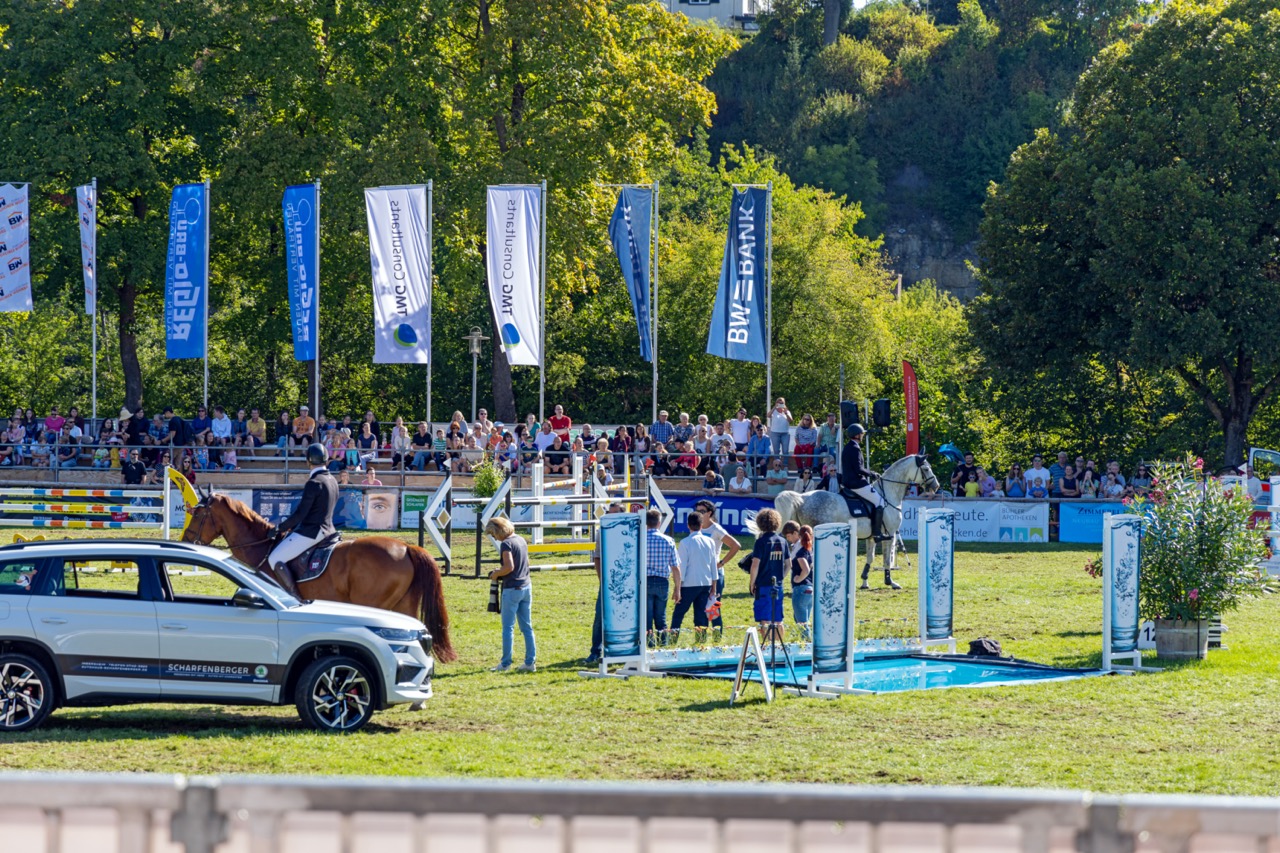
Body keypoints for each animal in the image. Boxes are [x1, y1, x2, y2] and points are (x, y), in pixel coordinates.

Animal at [181, 490, 455, 662]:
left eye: (198, 514)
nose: (185, 540)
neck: (262, 546)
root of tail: (406, 547)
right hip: (404, 604)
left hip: (375, 603)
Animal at [757, 454, 939, 590]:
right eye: (926, 468)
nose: (936, 486)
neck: (888, 494)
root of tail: (802, 498)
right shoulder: (890, 534)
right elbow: (887, 560)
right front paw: (891, 582)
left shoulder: (872, 537)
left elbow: (870, 558)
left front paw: (864, 581)